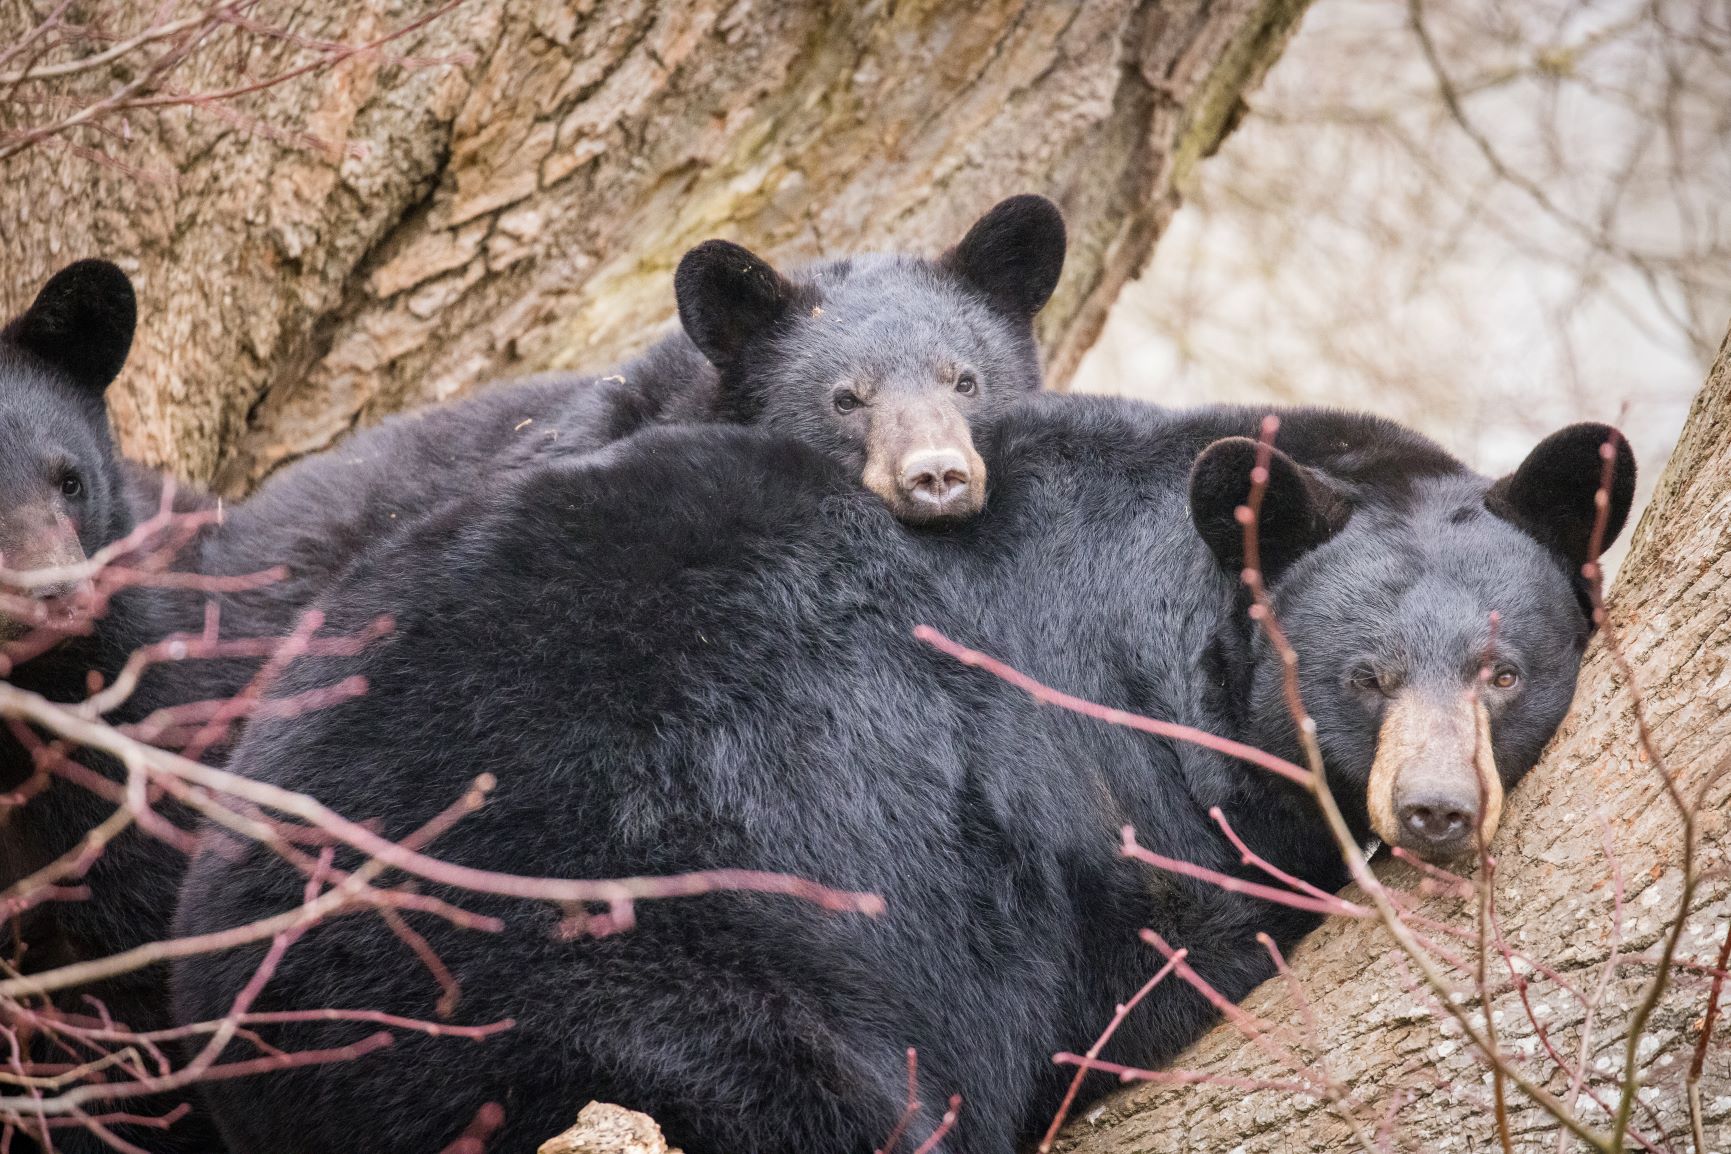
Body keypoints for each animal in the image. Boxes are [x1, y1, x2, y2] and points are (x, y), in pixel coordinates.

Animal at [168, 392, 1627, 1148]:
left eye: (1504, 670)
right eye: (1362, 675)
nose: (1431, 808)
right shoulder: (1087, 789)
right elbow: (1163, 954)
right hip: (625, 909)